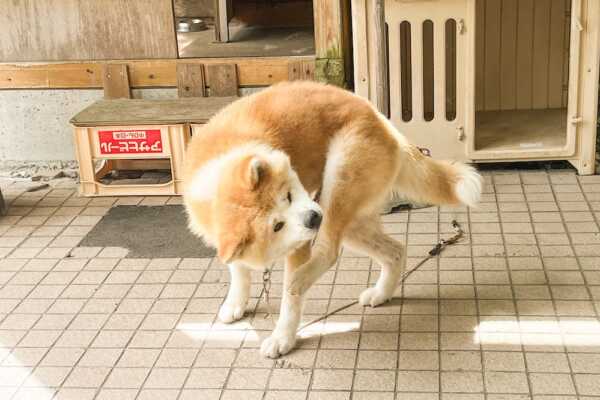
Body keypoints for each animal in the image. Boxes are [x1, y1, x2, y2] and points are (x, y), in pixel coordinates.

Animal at [183, 79, 482, 358]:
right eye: (277, 226)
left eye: (288, 196)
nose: (313, 219)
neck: (218, 176)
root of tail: (384, 121)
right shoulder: (229, 242)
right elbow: (239, 271)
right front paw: (235, 303)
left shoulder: (300, 244)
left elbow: (289, 301)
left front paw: (282, 338)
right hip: (352, 223)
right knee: (395, 251)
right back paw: (381, 293)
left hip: (338, 182)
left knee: (328, 253)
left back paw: (301, 279)